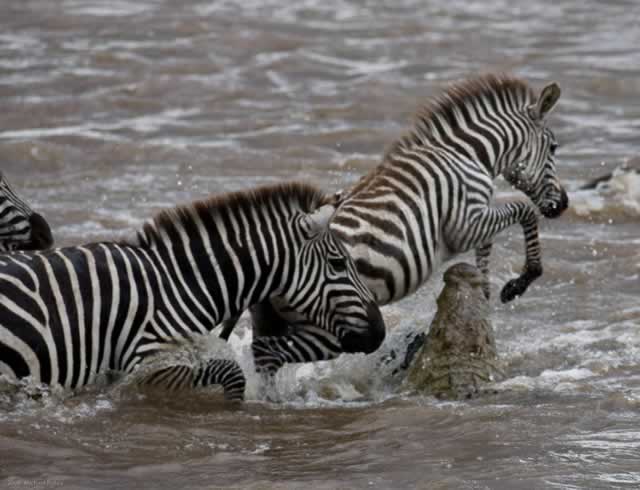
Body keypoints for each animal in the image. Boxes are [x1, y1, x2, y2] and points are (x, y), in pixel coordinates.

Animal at [220, 74, 569, 376]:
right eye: (553, 148)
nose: (563, 204)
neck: (467, 155)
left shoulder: (475, 220)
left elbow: (489, 242)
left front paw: (483, 290)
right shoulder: (465, 222)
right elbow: (524, 211)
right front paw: (520, 281)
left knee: (263, 353)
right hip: (333, 326)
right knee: (271, 353)